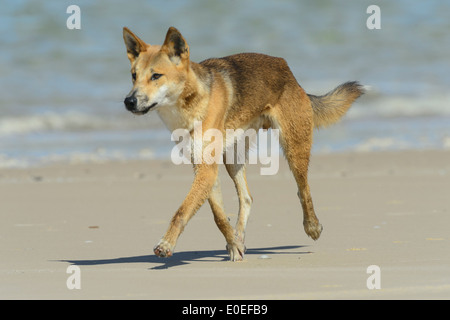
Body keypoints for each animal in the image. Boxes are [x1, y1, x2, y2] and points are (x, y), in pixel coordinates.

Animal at [123, 26, 366, 262]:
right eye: (134, 76)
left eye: (156, 76)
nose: (129, 101)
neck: (190, 104)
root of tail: (288, 70)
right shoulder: (205, 168)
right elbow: (219, 216)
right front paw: (234, 245)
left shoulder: (206, 169)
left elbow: (182, 211)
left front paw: (166, 244)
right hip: (233, 158)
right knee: (247, 198)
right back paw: (239, 236)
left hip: (294, 147)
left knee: (303, 189)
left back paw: (312, 226)